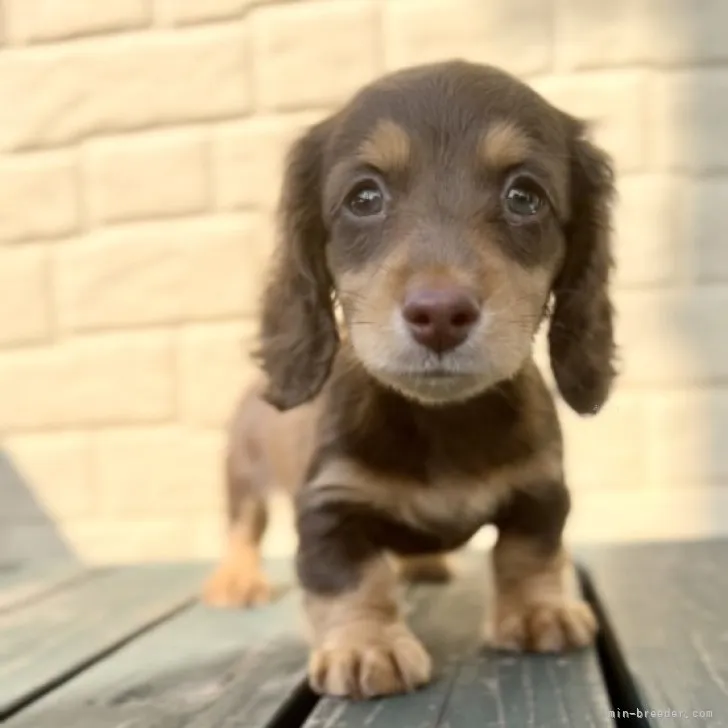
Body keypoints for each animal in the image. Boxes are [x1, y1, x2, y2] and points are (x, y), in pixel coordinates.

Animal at [202, 61, 616, 700]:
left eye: (525, 196)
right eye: (364, 197)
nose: (440, 314)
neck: (440, 420)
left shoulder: (543, 490)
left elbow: (530, 551)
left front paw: (538, 611)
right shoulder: (328, 508)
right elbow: (351, 579)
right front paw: (365, 646)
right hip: (243, 476)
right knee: (243, 529)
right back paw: (237, 578)